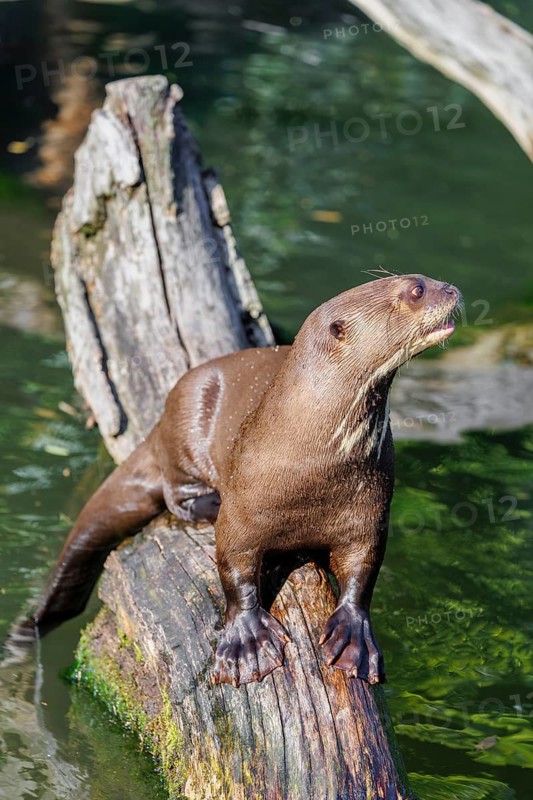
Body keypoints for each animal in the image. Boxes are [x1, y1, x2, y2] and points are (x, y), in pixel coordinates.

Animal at [9, 274, 460, 687]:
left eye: (425, 279)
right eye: (416, 289)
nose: (452, 289)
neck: (315, 466)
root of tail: (159, 423)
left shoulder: (369, 512)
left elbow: (363, 569)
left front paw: (354, 638)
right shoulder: (242, 513)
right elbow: (234, 568)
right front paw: (248, 642)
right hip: (185, 421)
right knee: (174, 494)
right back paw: (209, 502)